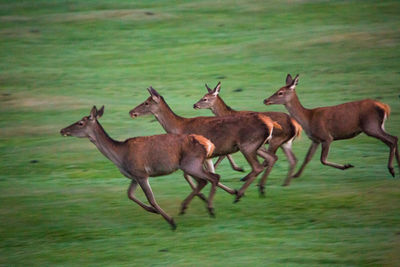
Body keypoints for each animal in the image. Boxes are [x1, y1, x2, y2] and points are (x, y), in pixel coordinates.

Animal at [59, 105, 222, 231]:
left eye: (80, 123)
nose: (62, 130)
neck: (120, 157)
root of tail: (209, 143)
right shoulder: (134, 176)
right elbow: (129, 194)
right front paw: (153, 211)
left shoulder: (141, 173)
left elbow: (151, 199)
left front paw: (171, 222)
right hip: (191, 165)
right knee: (205, 180)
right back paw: (193, 207)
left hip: (191, 164)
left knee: (214, 177)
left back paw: (210, 209)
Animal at [129, 88, 282, 203]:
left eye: (146, 102)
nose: (131, 112)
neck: (179, 127)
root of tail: (270, 124)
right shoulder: (206, 156)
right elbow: (212, 173)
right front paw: (229, 191)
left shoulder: (193, 155)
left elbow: (188, 175)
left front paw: (204, 196)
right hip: (257, 146)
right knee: (271, 158)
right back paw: (259, 189)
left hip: (247, 145)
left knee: (258, 166)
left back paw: (241, 193)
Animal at [264, 74, 398, 178]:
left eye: (280, 92)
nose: (265, 100)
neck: (308, 119)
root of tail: (385, 107)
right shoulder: (315, 139)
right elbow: (307, 157)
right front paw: (295, 175)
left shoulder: (327, 137)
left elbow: (322, 160)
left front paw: (346, 166)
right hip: (378, 126)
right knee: (393, 139)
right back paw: (397, 166)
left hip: (371, 126)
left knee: (392, 139)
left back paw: (391, 169)